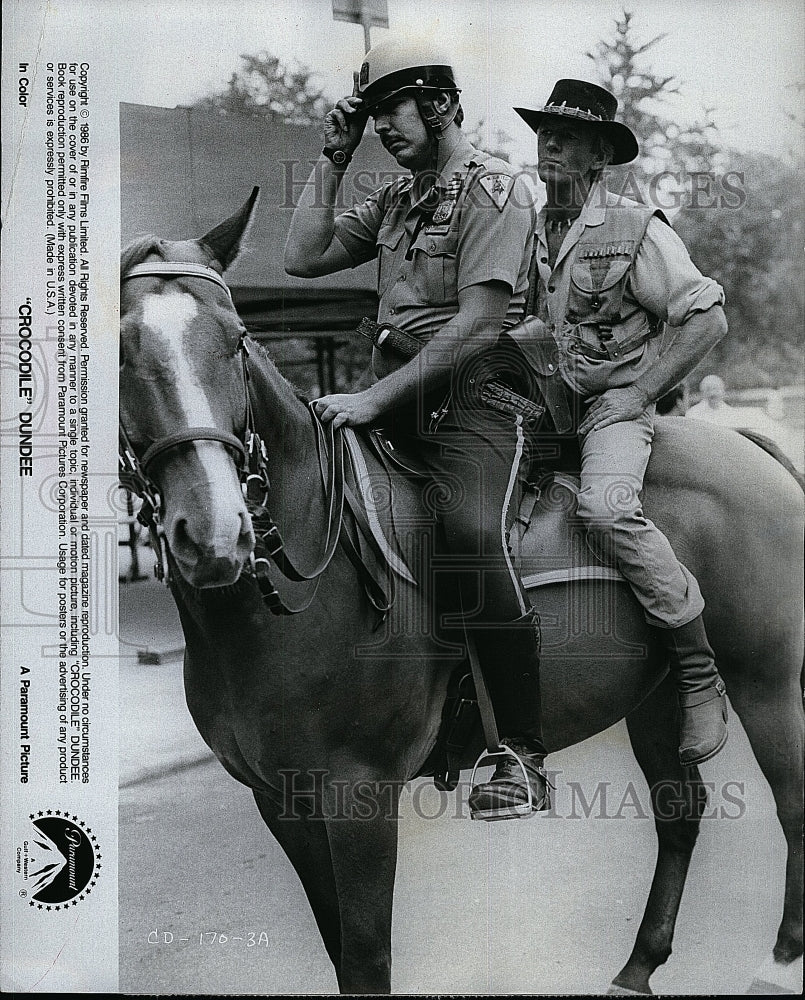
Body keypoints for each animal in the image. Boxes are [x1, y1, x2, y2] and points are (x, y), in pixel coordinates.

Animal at [121, 191, 804, 996]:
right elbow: (338, 950)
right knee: (680, 812)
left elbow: (365, 957)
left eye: (234, 342)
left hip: (766, 682)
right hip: (653, 693)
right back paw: (637, 966)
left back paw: (778, 961)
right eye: (122, 351)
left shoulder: (357, 796)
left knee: (791, 804)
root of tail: (748, 442)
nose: (213, 531)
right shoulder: (279, 801)